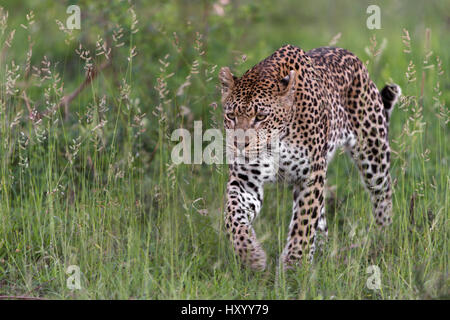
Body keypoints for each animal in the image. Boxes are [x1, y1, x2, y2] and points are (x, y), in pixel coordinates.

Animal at [220, 44, 400, 270]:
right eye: (231, 116)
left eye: (261, 117)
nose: (239, 144)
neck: (278, 140)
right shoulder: (245, 181)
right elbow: (233, 217)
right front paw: (250, 256)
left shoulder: (310, 176)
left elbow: (303, 224)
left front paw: (293, 265)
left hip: (373, 151)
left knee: (383, 195)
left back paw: (383, 237)